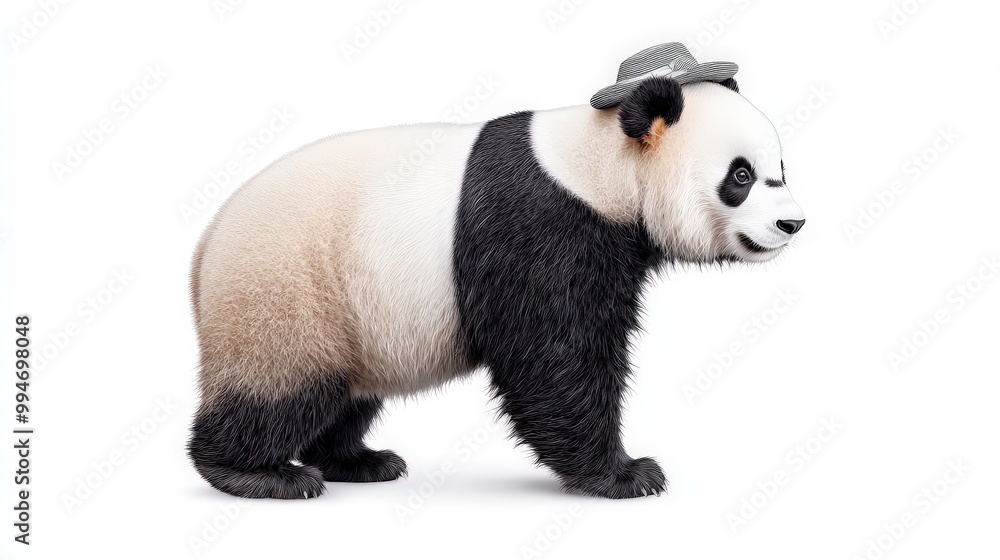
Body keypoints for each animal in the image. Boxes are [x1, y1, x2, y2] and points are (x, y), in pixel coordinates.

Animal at [187, 72, 806, 500]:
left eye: (780, 169)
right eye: (741, 176)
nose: (792, 223)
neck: (597, 163)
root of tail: (202, 253)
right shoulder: (541, 225)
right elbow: (554, 358)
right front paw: (627, 474)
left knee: (344, 395)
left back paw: (359, 461)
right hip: (286, 290)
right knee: (280, 389)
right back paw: (258, 473)